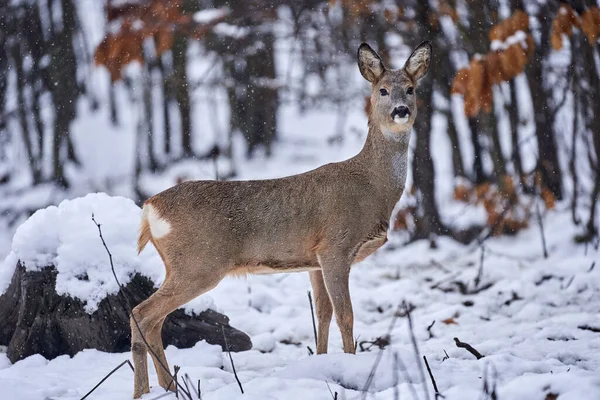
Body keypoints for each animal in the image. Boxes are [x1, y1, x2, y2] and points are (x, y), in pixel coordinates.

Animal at [131, 39, 432, 396]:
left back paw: (167, 388)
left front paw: (322, 363)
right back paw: (146, 391)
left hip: (181, 265)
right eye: (383, 90)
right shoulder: (336, 246)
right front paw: (352, 368)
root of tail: (150, 207)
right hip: (198, 264)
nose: (401, 110)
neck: (373, 186)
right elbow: (346, 315)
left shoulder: (314, 259)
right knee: (141, 313)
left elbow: (322, 314)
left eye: (411, 89)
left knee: (154, 320)